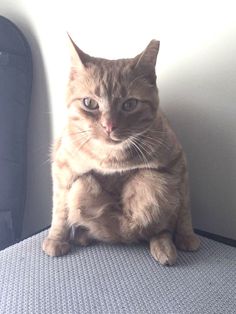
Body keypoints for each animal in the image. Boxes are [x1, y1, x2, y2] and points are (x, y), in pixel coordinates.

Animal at [42, 34, 199, 264]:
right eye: (89, 103)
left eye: (129, 104)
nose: (109, 126)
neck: (111, 157)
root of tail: (122, 237)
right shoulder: (63, 168)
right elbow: (59, 209)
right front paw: (56, 239)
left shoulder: (178, 163)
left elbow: (185, 209)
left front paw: (187, 236)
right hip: (83, 185)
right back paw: (82, 235)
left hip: (154, 181)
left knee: (159, 226)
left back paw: (163, 246)